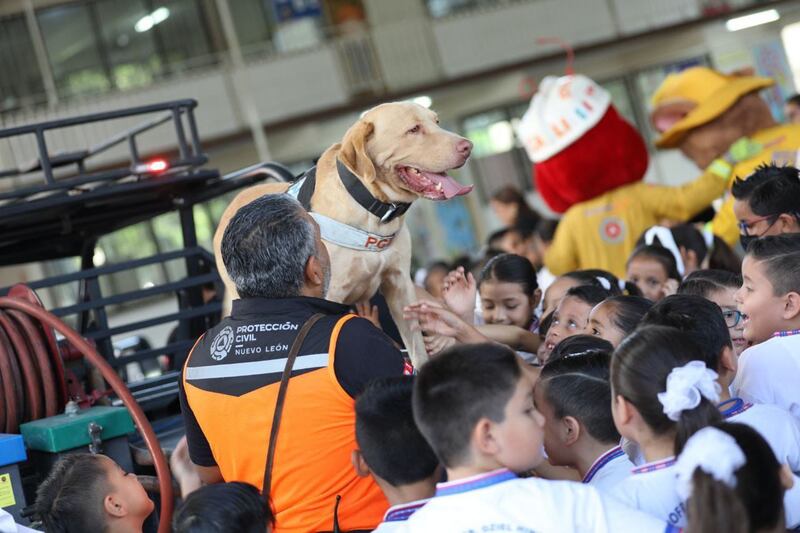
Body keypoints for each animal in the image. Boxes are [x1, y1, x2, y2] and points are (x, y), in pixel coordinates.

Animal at [216, 100, 472, 366]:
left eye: (437, 122)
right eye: (413, 129)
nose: (467, 146)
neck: (373, 210)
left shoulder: (399, 283)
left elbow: (416, 346)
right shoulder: (329, 293)